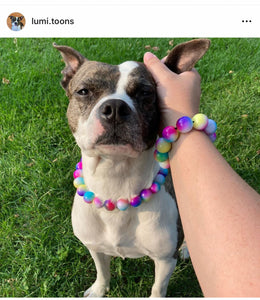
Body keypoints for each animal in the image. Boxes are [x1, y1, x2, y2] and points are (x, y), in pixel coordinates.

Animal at [53, 39, 210, 298]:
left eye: (145, 93)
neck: (115, 179)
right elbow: (102, 271)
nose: (115, 107)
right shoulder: (94, 246)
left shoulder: (165, 259)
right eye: (84, 91)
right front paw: (99, 289)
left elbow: (158, 288)